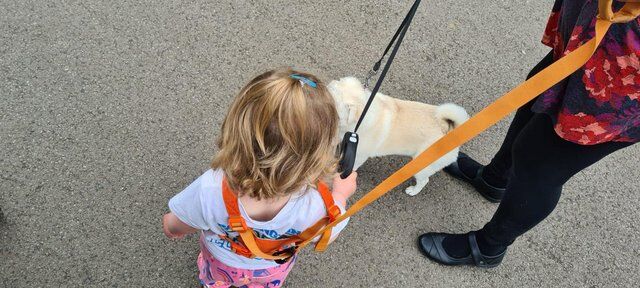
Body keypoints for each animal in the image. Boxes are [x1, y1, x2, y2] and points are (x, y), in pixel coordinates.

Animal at [328, 76, 468, 196]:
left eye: (335, 109)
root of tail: (451, 131)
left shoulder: (359, 155)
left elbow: (351, 166)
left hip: (421, 166)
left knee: (424, 181)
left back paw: (413, 191)